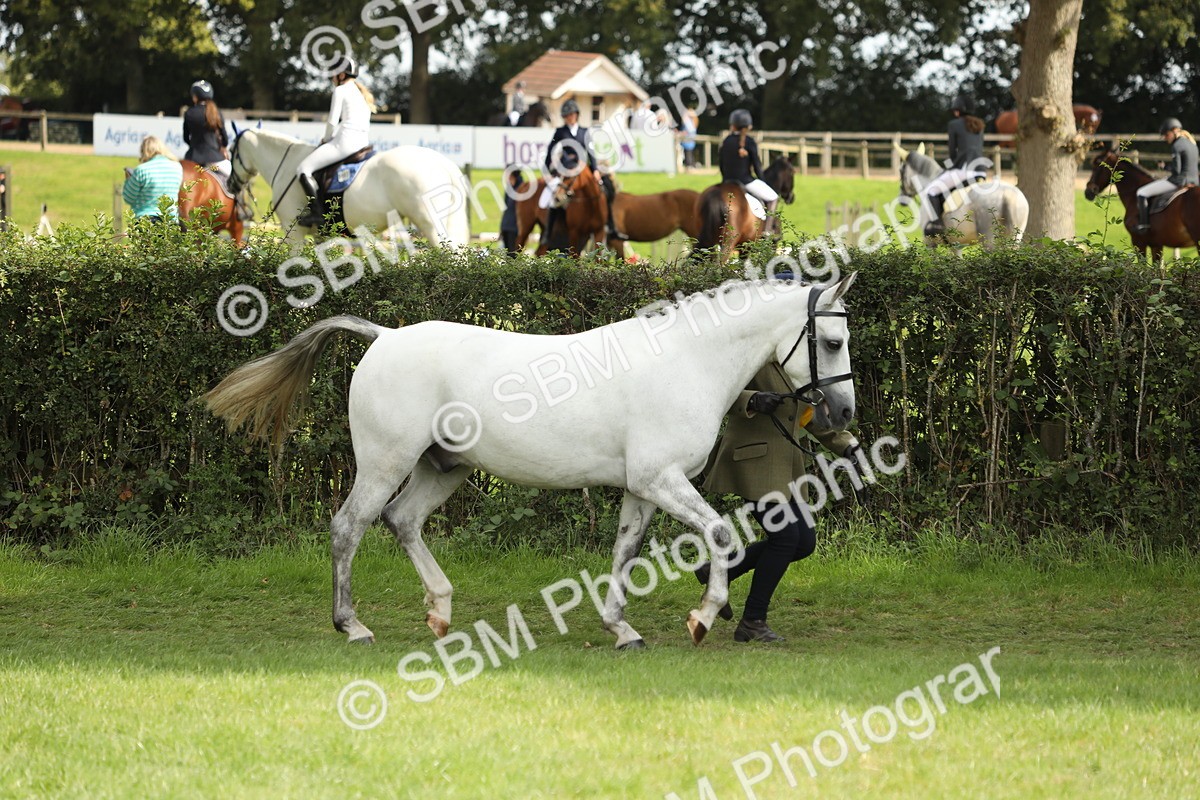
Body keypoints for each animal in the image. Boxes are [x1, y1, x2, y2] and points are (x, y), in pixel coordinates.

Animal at [203, 274, 858, 649]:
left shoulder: (641, 488)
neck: (686, 361)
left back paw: (440, 613)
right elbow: (720, 532)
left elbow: (625, 552)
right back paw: (352, 625)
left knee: (402, 521)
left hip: (443, 467)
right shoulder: (661, 479)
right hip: (386, 464)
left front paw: (621, 629)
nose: (844, 414)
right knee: (350, 527)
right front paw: (702, 617)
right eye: (831, 342)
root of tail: (385, 337)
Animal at [227, 128, 470, 248]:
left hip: (430, 225)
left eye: (230, 151)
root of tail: (442, 162)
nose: (230, 185)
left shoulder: (293, 232)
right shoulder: (323, 236)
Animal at [895, 143, 1029, 247]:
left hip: (989, 238)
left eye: (901, 170)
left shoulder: (929, 242)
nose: (902, 200)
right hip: (1015, 237)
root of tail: (1007, 195)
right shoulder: (956, 245)